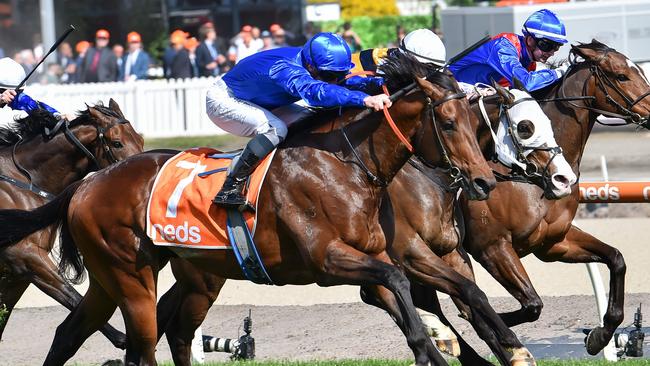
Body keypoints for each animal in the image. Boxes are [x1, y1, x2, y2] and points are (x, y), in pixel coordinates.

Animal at [0, 101, 143, 348]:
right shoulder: (25, 257)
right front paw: (123, 338)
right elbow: (75, 299)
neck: (26, 181)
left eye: (140, 139)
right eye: (117, 143)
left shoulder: (17, 275)